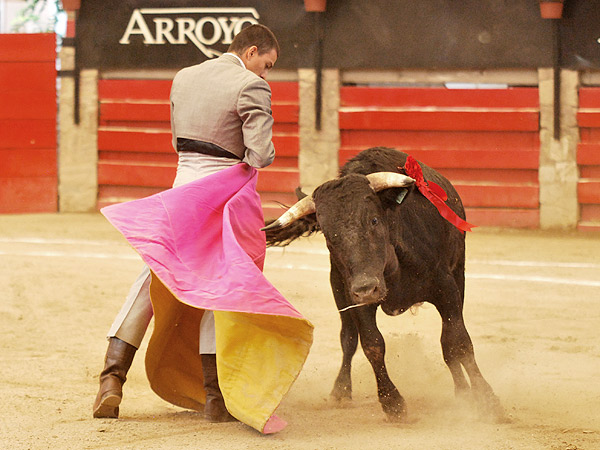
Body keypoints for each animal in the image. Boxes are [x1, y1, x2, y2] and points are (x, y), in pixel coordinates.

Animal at [262, 147, 504, 422]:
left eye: (374, 220)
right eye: (329, 235)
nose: (367, 288)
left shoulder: (447, 289)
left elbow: (458, 342)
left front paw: (486, 399)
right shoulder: (356, 299)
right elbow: (372, 344)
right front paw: (393, 403)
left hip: (459, 275)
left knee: (448, 343)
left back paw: (463, 393)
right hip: (339, 291)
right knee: (348, 338)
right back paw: (341, 392)